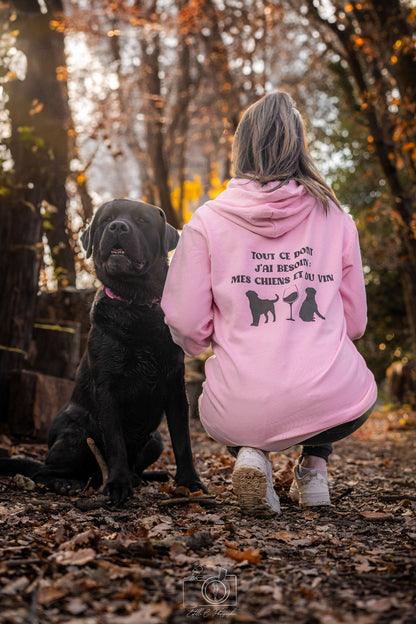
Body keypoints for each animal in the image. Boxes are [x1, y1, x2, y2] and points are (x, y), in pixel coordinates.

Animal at [0, 200, 205, 508]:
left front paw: (191, 483)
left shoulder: (175, 386)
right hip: (75, 433)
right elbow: (115, 442)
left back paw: (145, 477)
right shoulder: (107, 388)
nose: (118, 227)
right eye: (107, 220)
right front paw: (118, 485)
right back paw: (68, 483)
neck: (136, 303)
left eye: (141, 220)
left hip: (155, 439)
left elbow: (183, 441)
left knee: (134, 466)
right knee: (43, 471)